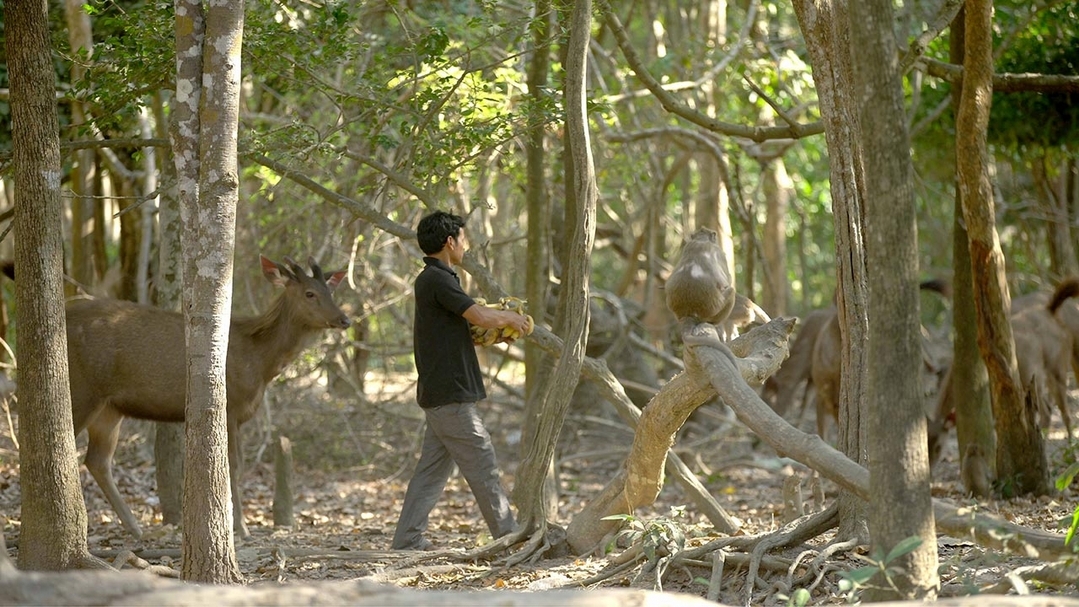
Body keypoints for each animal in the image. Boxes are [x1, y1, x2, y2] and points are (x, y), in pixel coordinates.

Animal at [7, 255, 350, 539]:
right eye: (309, 293)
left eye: (331, 291)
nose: (344, 319)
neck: (261, 364)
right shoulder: (231, 405)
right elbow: (233, 466)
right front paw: (241, 528)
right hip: (82, 388)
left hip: (109, 408)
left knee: (97, 460)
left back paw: (135, 528)